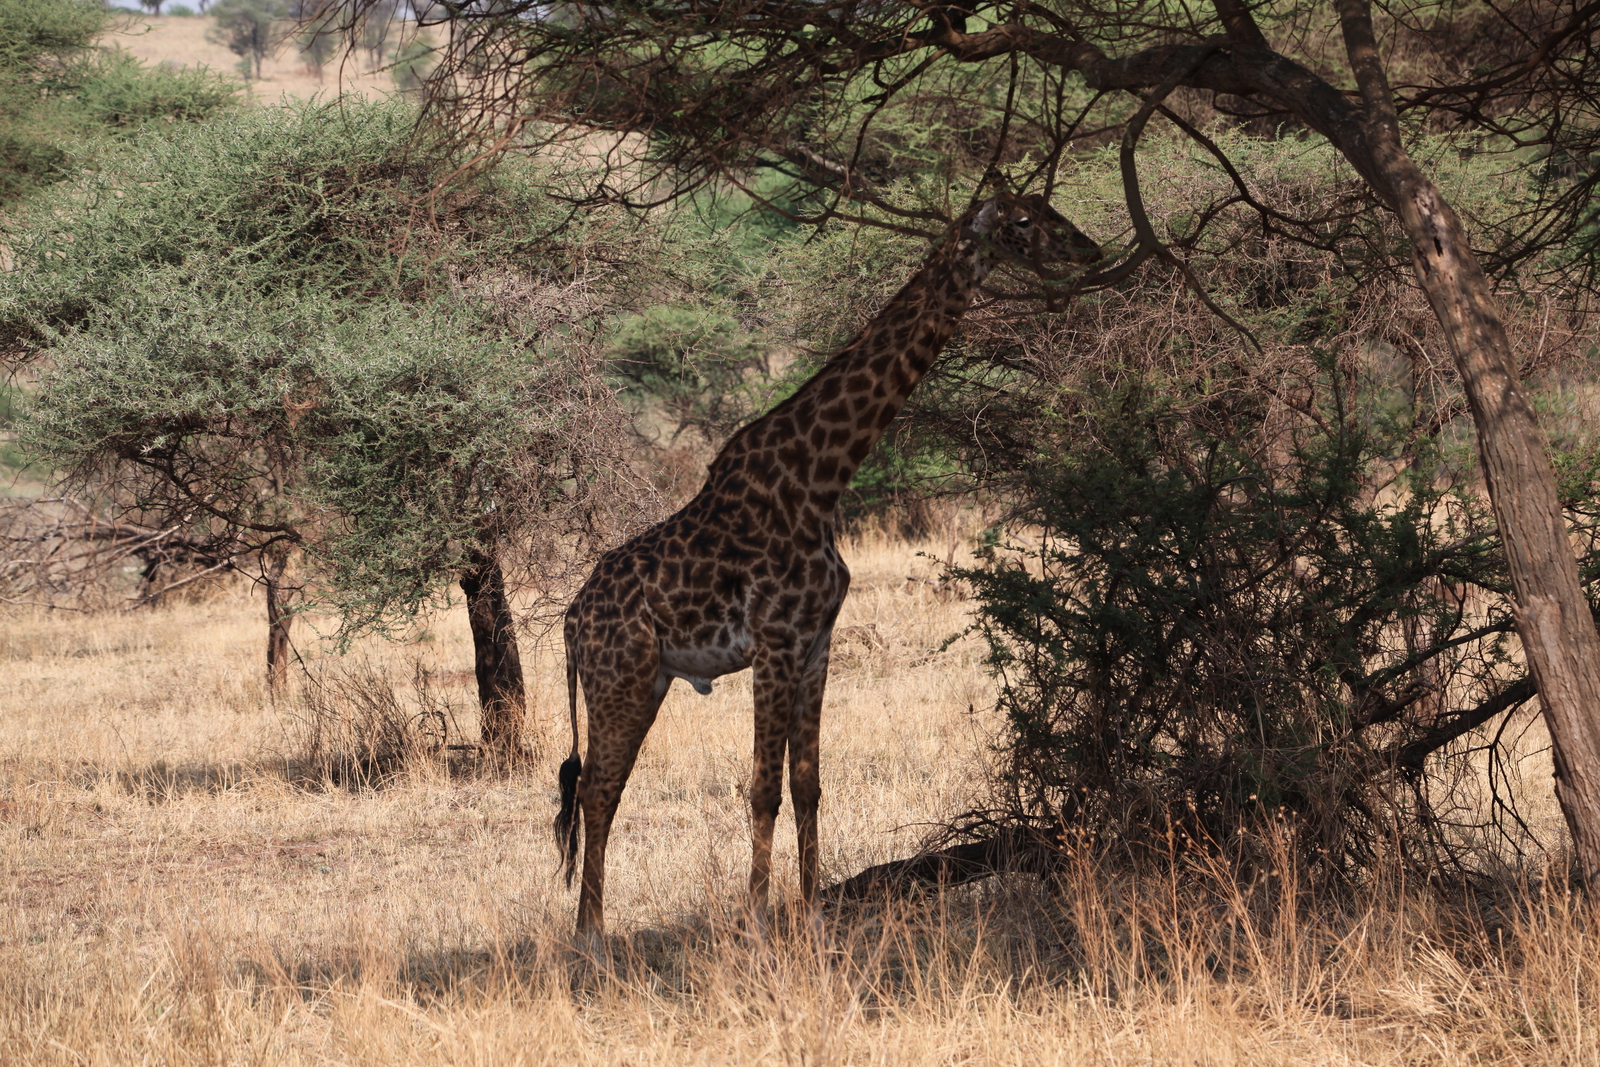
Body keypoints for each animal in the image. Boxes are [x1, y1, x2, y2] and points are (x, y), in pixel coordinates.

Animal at [556, 195, 1094, 940]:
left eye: (1047, 207)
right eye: (1021, 220)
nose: (1089, 249)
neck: (823, 476)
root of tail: (571, 619)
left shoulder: (818, 642)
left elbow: (807, 784)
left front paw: (810, 913)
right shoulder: (775, 642)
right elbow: (762, 787)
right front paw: (756, 920)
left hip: (650, 678)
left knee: (594, 791)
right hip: (621, 680)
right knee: (597, 791)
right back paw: (590, 937)